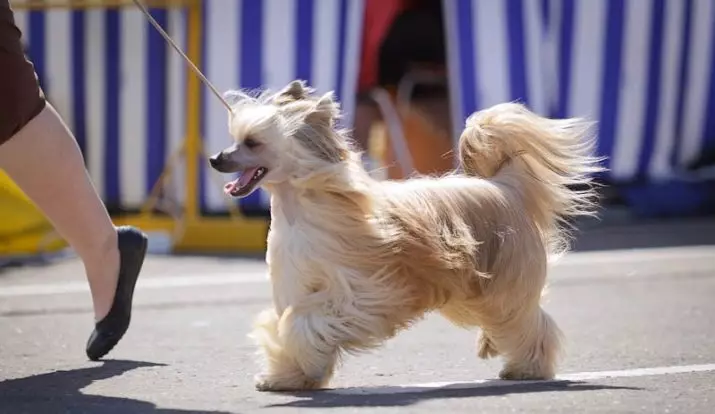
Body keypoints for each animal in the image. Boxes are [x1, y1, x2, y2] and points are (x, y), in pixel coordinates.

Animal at [208, 80, 604, 392]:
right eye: (235, 140)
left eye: (252, 143)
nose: (215, 159)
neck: (302, 210)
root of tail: (504, 186)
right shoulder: (296, 286)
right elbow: (288, 323)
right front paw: (288, 376)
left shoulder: (364, 294)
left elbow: (304, 323)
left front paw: (303, 363)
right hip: (470, 290)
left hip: (504, 285)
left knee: (528, 321)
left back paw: (527, 368)